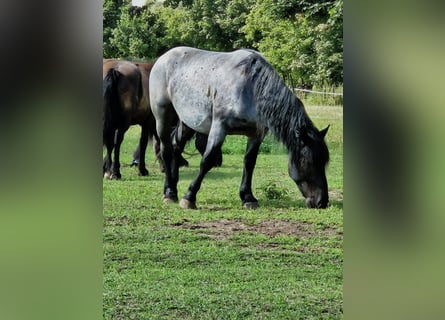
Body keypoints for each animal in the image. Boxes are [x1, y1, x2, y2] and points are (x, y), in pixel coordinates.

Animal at [151, 46, 328, 209]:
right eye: (308, 162)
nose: (322, 201)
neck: (251, 87)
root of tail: (163, 58)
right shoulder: (219, 127)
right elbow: (207, 160)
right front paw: (189, 197)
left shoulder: (256, 134)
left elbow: (249, 162)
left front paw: (248, 198)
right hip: (162, 115)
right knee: (166, 150)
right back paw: (169, 193)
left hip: (188, 121)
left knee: (176, 146)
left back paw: (172, 190)